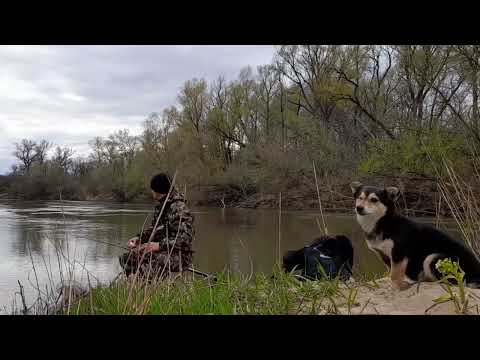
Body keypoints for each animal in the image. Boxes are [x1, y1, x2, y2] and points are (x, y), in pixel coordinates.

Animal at [350, 181, 480, 292]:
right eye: (359, 198)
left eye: (374, 200)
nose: (359, 208)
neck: (384, 222)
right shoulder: (384, 255)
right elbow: (391, 272)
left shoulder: (399, 253)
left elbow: (394, 275)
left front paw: (398, 288)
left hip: (433, 258)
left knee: (451, 282)